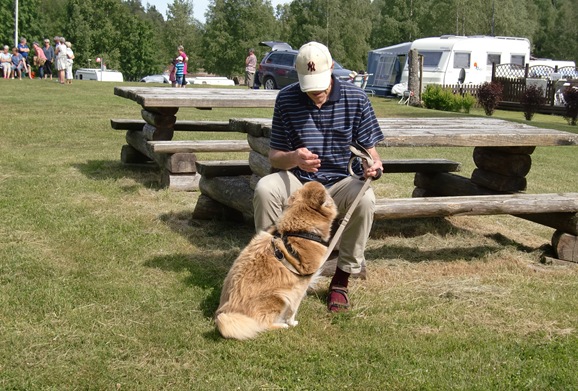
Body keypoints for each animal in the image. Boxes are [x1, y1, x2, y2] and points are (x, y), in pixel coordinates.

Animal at [214, 182, 336, 342]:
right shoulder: (300, 285)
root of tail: (227, 312)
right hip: (279, 297)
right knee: (263, 325)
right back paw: (281, 325)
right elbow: (294, 308)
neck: (300, 229)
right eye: (327, 191)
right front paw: (291, 322)